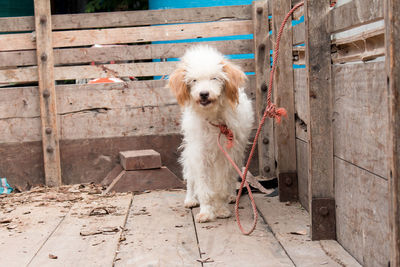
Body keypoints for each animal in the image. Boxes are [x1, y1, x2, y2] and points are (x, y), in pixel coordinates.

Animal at [167, 46, 255, 224]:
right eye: (194, 80)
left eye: (215, 78)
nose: (204, 93)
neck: (213, 118)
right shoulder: (200, 155)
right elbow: (203, 187)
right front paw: (206, 212)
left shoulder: (227, 155)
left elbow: (222, 185)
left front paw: (221, 209)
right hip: (190, 152)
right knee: (191, 178)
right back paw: (190, 199)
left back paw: (231, 196)